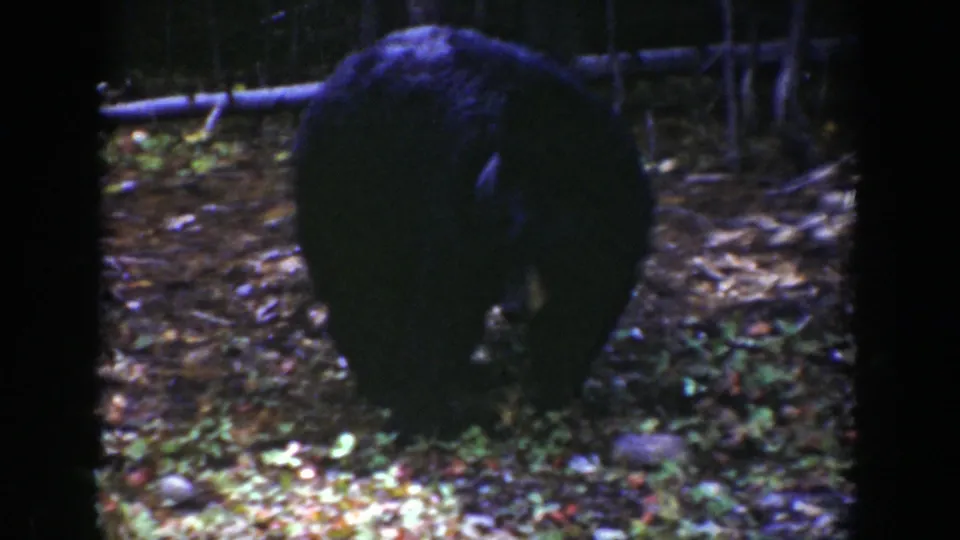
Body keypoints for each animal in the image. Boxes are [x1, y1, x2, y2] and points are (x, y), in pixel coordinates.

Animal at [292, 25, 655, 437]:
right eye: (510, 243)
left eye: (543, 246)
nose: (513, 309)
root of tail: (333, 77)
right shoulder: (462, 199)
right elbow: (448, 298)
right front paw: (427, 412)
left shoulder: (622, 223)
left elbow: (589, 304)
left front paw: (553, 387)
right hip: (350, 180)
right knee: (360, 281)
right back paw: (382, 378)